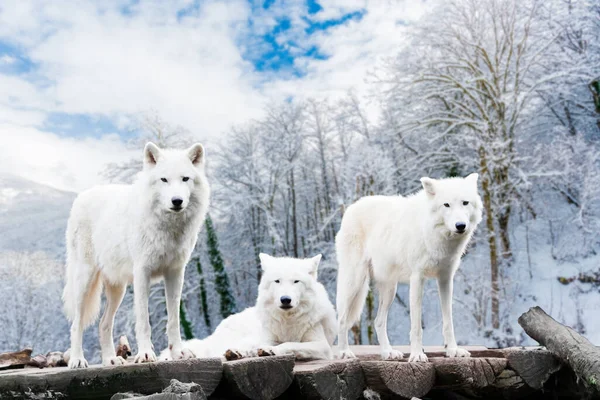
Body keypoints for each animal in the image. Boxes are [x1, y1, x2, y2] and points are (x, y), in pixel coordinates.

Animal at [62, 142, 210, 368]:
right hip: (84, 281)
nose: (177, 201)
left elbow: (174, 320)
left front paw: (178, 353)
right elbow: (143, 320)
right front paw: (146, 354)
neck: (168, 228)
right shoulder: (142, 272)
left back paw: (110, 360)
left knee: (103, 324)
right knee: (76, 324)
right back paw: (78, 360)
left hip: (118, 290)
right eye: (164, 179)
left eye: (185, 179)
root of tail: (81, 196)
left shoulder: (176, 273)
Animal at [161, 255, 338, 360]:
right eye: (277, 281)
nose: (285, 300)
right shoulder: (267, 337)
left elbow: (290, 344)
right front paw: (266, 349)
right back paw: (235, 352)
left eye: (296, 281)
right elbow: (276, 344)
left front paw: (272, 350)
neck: (288, 321)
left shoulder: (322, 346)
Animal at [338, 173, 482, 360]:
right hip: (355, 282)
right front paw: (417, 355)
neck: (434, 234)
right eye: (446, 204)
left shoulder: (445, 279)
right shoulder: (417, 278)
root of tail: (352, 206)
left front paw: (453, 350)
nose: (460, 225)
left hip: (390, 290)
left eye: (465, 203)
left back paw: (388, 352)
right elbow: (416, 326)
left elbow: (448, 321)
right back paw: (344, 352)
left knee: (378, 321)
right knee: (341, 319)